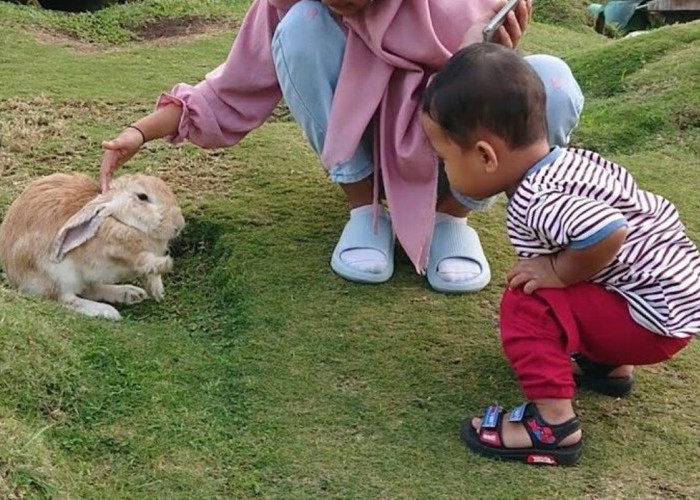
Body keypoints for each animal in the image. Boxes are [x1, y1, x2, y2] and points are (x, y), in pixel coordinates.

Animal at [0, 172, 186, 320]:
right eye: (143, 197)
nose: (179, 225)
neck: (122, 221)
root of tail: (14, 277)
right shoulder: (113, 250)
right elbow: (140, 259)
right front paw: (165, 264)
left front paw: (157, 290)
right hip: (57, 275)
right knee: (66, 299)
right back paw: (106, 311)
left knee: (90, 288)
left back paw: (130, 293)